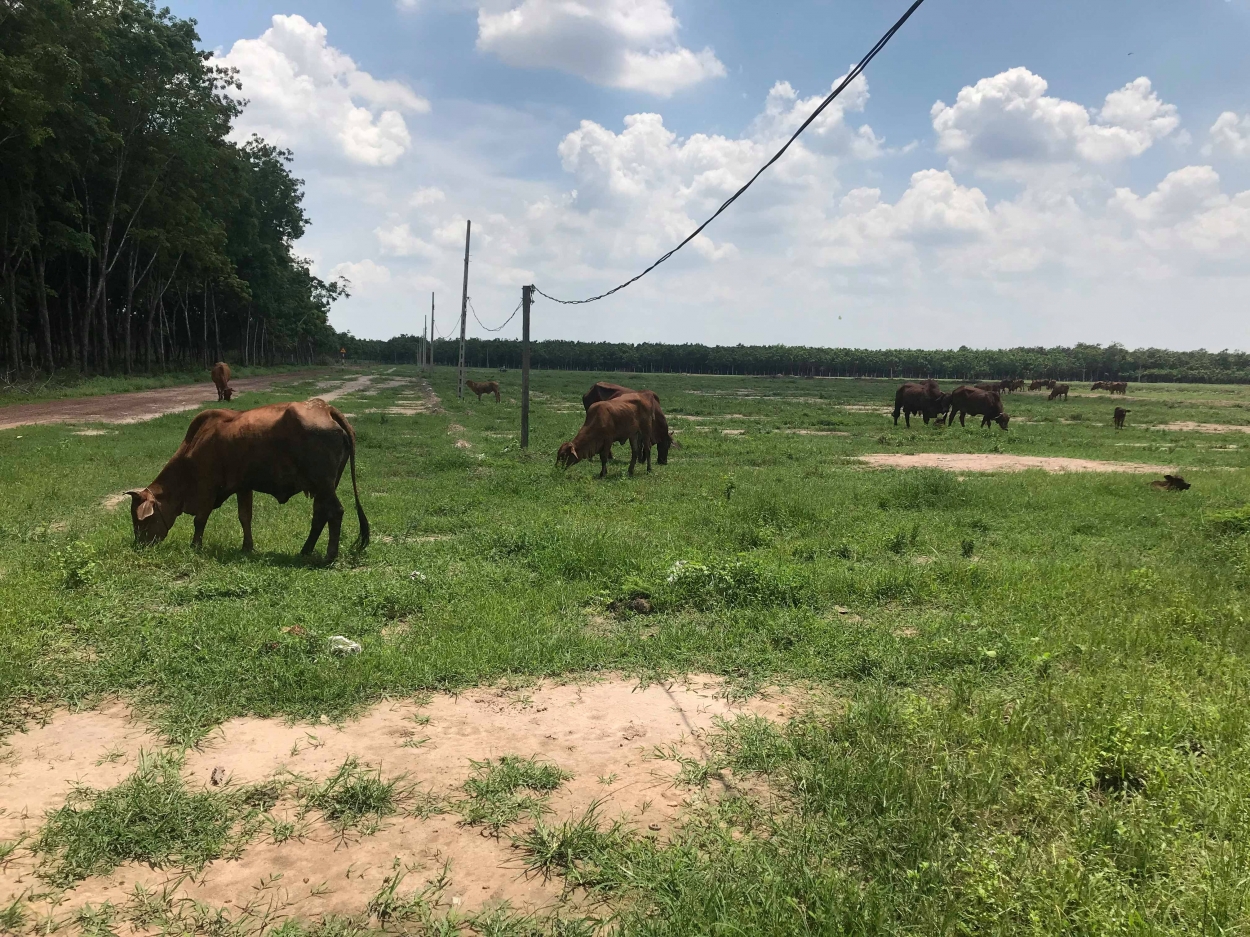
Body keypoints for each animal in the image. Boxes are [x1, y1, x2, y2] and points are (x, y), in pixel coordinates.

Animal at [125, 397, 367, 562]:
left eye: (141, 520)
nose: (140, 545)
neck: (192, 448)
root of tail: (325, 408)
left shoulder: (207, 488)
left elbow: (200, 520)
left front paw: (195, 545)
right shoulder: (243, 486)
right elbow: (245, 517)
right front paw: (247, 547)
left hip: (323, 484)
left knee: (335, 512)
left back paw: (329, 556)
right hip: (322, 487)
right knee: (320, 515)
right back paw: (305, 550)